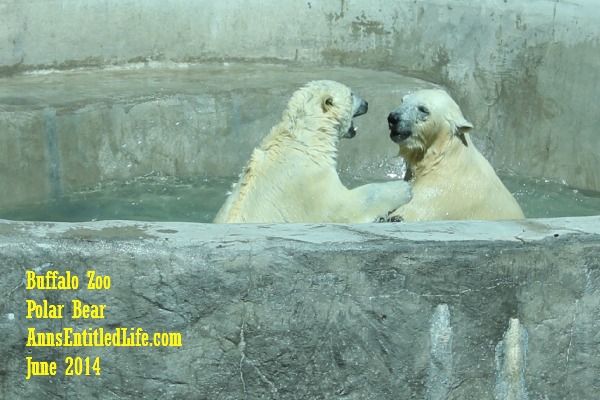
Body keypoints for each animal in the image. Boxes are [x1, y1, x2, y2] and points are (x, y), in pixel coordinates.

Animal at [213, 79, 414, 223]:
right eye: (351, 94)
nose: (366, 103)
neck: (305, 138)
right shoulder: (309, 183)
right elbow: (346, 206)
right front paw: (403, 189)